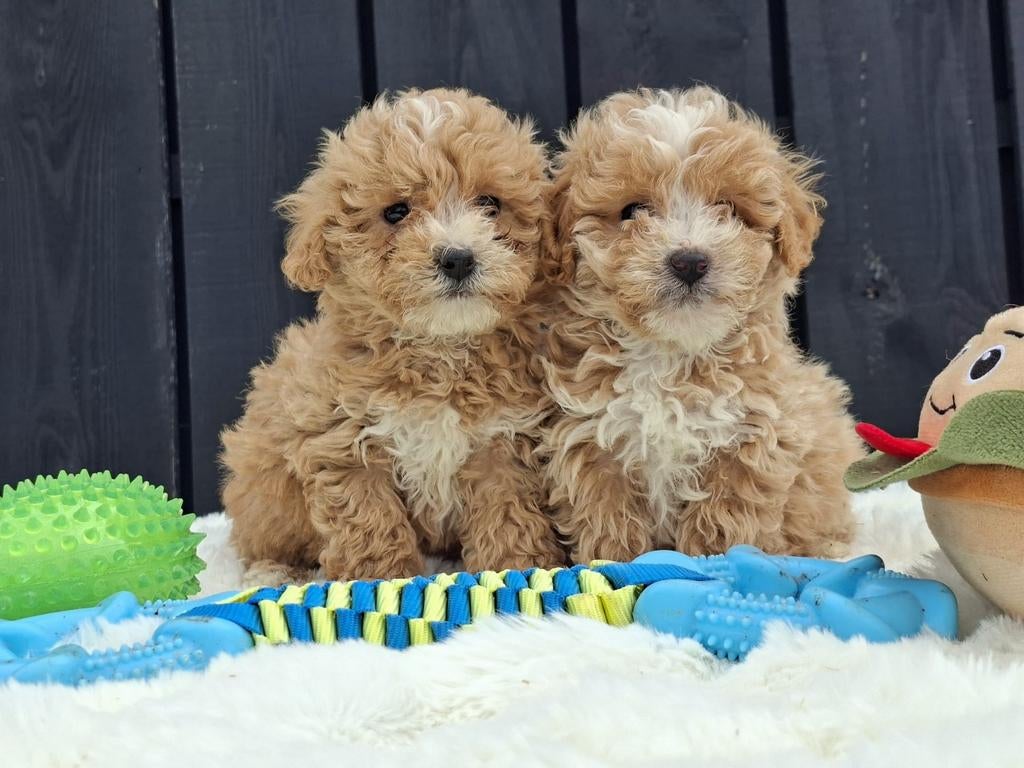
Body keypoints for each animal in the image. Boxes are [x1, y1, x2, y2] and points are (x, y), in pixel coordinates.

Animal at [221, 88, 564, 582]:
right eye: (396, 212)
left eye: (491, 204)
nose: (458, 257)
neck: (439, 349)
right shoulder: (344, 444)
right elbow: (371, 527)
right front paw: (385, 581)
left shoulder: (503, 443)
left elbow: (508, 518)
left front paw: (517, 570)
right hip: (265, 495)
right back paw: (275, 573)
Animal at [540, 86, 863, 562]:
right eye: (632, 210)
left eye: (727, 208)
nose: (690, 261)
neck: (672, 357)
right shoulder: (592, 440)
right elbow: (610, 523)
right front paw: (614, 565)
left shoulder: (749, 439)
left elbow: (724, 521)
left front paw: (715, 563)